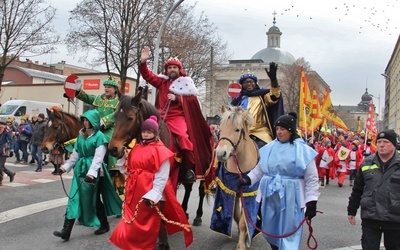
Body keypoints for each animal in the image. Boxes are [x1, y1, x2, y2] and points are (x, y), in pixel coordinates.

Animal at [108, 92, 206, 227]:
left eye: (130, 117)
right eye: (115, 116)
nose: (113, 149)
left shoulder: (171, 175)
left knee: (201, 191)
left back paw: (198, 216)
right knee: (188, 188)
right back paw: (185, 211)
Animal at [212, 106, 260, 250]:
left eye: (237, 130)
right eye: (220, 129)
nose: (220, 154)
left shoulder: (249, 193)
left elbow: (244, 220)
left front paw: (242, 244)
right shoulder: (231, 190)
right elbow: (235, 214)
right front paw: (241, 236)